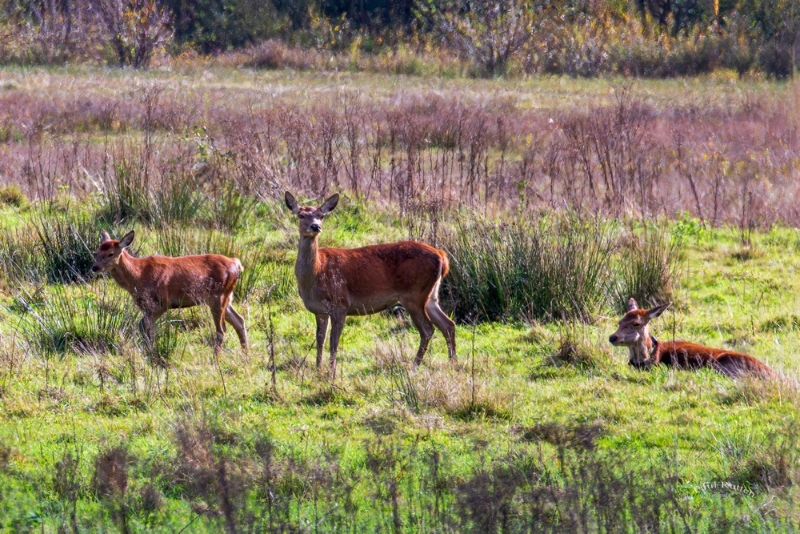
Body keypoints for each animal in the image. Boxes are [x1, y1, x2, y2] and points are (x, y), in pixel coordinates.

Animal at [91, 231, 247, 354]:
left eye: (110, 254)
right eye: (97, 252)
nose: (94, 267)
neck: (138, 276)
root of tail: (236, 263)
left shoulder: (162, 303)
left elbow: (144, 326)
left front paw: (151, 352)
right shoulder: (146, 306)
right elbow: (148, 329)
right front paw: (149, 350)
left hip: (218, 296)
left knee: (222, 329)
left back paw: (215, 359)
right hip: (226, 297)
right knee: (239, 321)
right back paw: (245, 355)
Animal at [284, 194, 456, 376]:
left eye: (321, 215)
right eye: (301, 215)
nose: (315, 226)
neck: (316, 274)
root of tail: (442, 256)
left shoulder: (340, 303)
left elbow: (333, 341)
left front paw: (331, 373)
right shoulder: (320, 311)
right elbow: (320, 340)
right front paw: (318, 370)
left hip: (413, 294)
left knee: (428, 329)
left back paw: (414, 366)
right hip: (431, 295)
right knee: (448, 324)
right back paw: (453, 363)